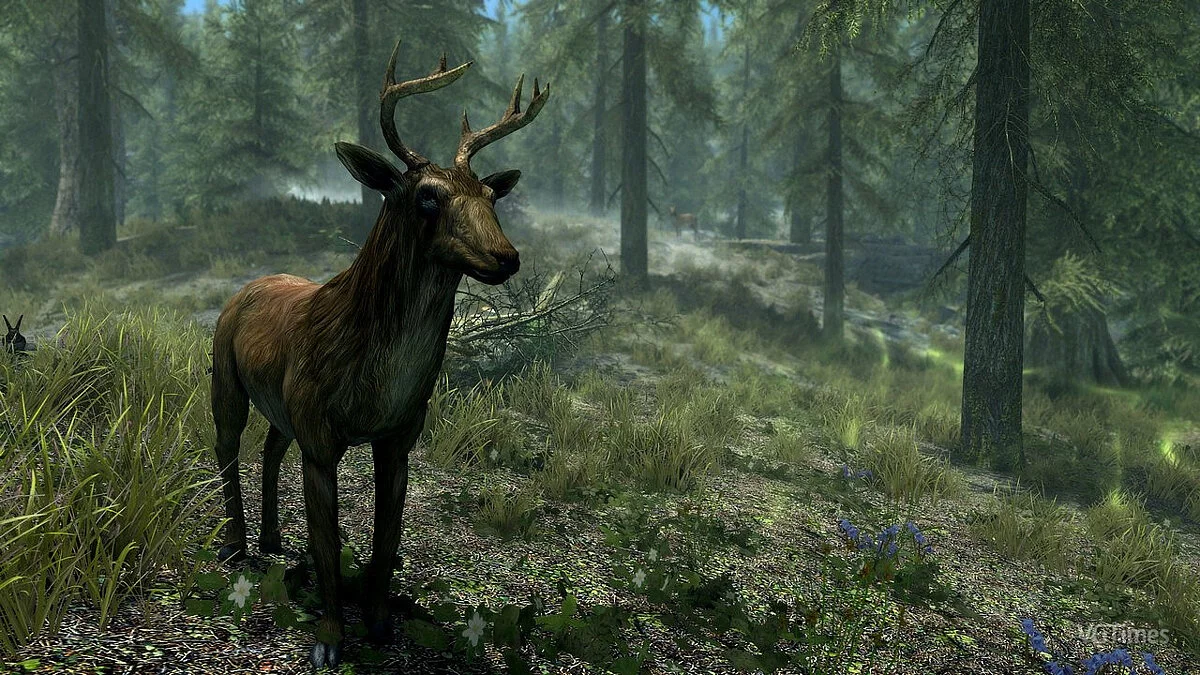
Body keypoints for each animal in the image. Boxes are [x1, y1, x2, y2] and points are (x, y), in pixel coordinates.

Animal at [209, 41, 548, 670]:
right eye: (427, 197)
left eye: (491, 195)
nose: (506, 256)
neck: (376, 385)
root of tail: (247, 288)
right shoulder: (321, 441)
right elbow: (328, 543)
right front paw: (328, 638)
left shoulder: (399, 437)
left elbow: (387, 538)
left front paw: (382, 623)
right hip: (226, 377)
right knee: (225, 445)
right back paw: (237, 546)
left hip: (283, 407)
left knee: (269, 447)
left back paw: (271, 539)